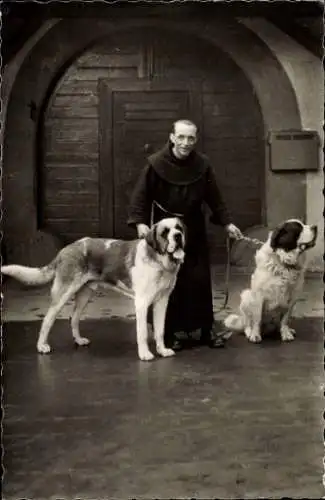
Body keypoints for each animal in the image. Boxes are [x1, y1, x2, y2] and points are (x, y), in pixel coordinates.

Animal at [1, 217, 186, 362]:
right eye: (165, 232)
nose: (178, 236)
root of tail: (64, 250)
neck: (159, 261)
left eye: (179, 228)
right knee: (48, 319)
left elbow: (160, 330)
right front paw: (145, 354)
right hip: (64, 293)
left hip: (85, 294)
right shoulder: (141, 303)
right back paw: (42, 346)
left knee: (74, 318)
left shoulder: (162, 301)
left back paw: (79, 340)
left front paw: (162, 350)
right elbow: (142, 332)